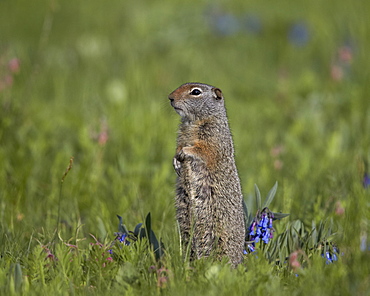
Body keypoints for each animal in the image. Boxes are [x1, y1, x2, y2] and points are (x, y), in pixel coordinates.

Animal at [168, 81, 246, 266]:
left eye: (196, 92)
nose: (170, 98)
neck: (193, 121)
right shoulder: (181, 135)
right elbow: (178, 146)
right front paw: (176, 161)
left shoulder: (213, 137)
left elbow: (202, 150)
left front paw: (184, 152)